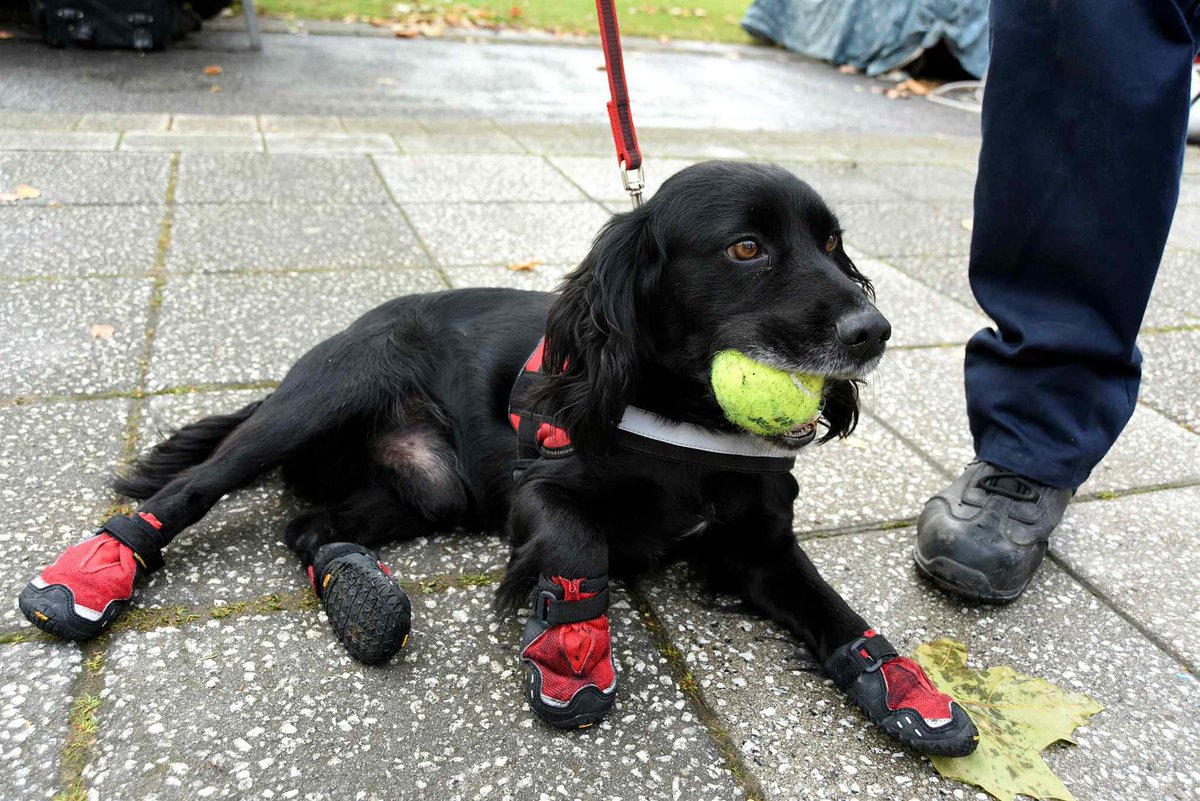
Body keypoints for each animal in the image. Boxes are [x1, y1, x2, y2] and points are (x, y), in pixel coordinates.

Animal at [16, 160, 974, 757]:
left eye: (836, 245)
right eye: (747, 247)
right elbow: (580, 550)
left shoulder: (759, 544)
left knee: (308, 527)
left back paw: (359, 591)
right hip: (321, 398)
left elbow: (835, 610)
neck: (685, 423)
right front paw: (570, 646)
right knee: (193, 485)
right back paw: (89, 575)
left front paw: (901, 686)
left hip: (429, 490)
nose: (875, 330)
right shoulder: (539, 492)